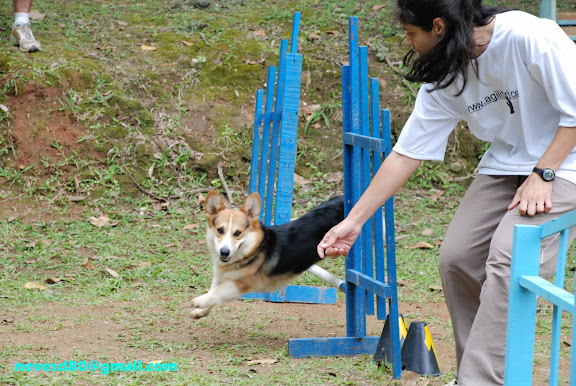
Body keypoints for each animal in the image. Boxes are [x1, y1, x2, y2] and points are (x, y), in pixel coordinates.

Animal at [190, 191, 342, 320]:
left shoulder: (241, 283)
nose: (224, 252)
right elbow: (213, 291)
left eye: (237, 233)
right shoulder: (219, 276)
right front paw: (201, 311)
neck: (251, 251)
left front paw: (200, 300)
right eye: (220, 230)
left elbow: (217, 291)